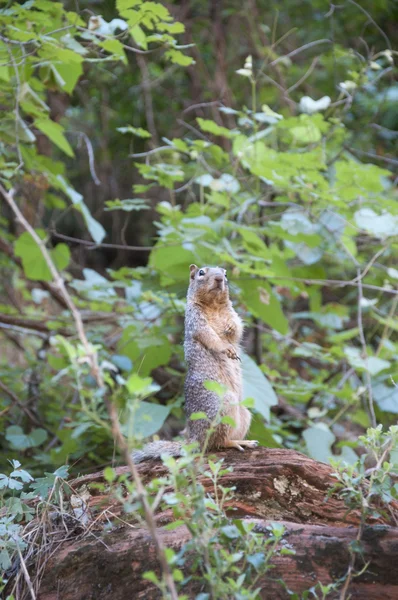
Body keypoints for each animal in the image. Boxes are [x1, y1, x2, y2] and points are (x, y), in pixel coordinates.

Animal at [132, 264, 258, 466]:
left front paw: (230, 328)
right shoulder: (195, 322)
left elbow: (237, 329)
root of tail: (195, 438)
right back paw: (234, 442)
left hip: (244, 412)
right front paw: (226, 349)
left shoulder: (232, 313)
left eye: (225, 273)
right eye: (201, 272)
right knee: (216, 443)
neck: (213, 306)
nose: (219, 279)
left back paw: (245, 441)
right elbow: (210, 337)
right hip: (224, 406)